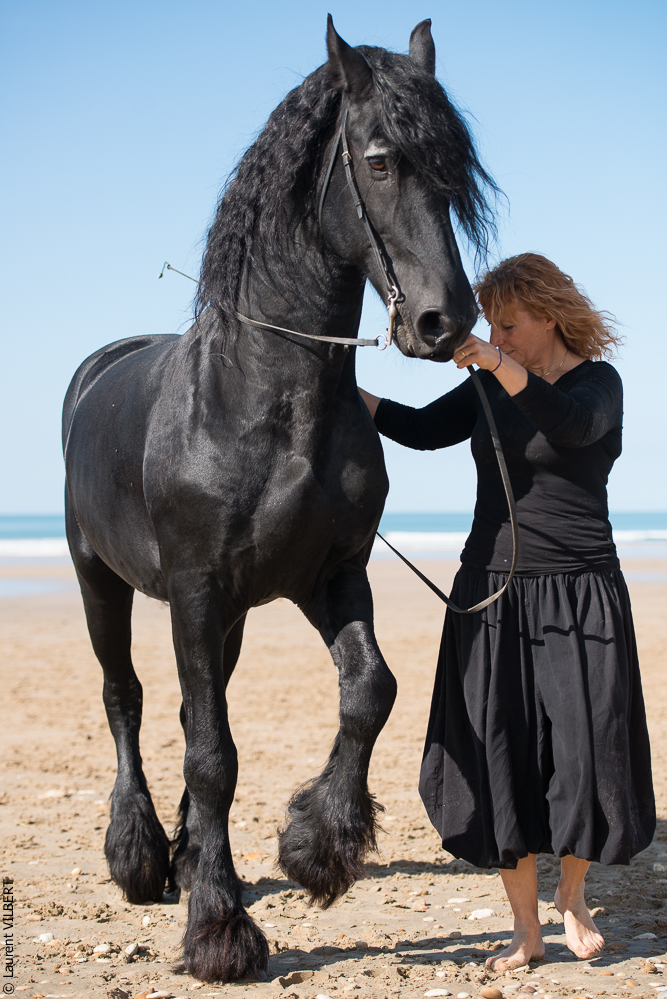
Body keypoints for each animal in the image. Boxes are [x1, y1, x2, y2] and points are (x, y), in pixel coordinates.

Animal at [62, 17, 496, 983]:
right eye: (380, 160)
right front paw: (220, 928)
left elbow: (368, 691)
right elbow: (211, 752)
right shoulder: (195, 591)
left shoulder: (327, 577)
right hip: (101, 582)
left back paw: (189, 856)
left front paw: (313, 846)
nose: (446, 323)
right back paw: (139, 855)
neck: (265, 398)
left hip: (226, 617)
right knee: (126, 698)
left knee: (192, 702)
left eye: (454, 174)